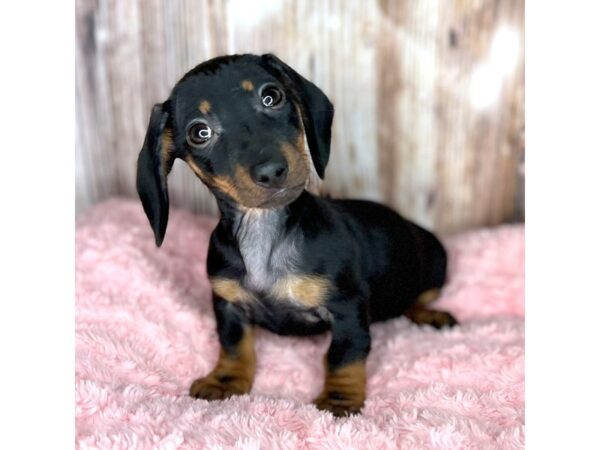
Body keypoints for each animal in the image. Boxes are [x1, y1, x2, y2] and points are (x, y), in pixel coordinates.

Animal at [136, 54, 458, 416]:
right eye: (199, 132)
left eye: (271, 96)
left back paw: (430, 314)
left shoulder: (347, 308)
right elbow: (233, 345)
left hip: (437, 262)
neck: (264, 233)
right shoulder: (228, 304)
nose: (272, 171)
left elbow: (343, 356)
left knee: (419, 298)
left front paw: (338, 399)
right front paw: (225, 380)